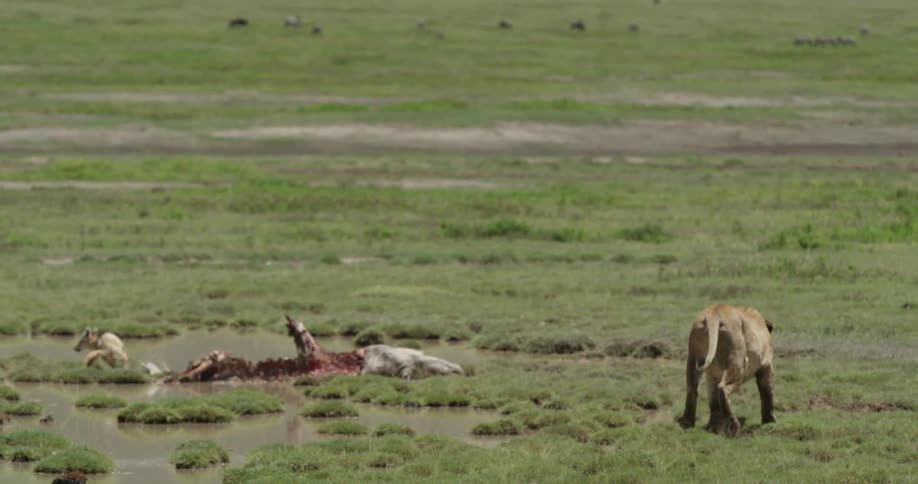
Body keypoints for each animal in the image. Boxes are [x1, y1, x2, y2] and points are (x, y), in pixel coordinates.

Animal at [676, 304, 775, 437]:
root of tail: (714, 313)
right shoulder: (766, 364)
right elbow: (767, 392)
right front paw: (770, 421)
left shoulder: (713, 374)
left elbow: (713, 401)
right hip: (738, 360)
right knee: (723, 388)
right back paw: (733, 426)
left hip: (694, 359)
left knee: (694, 391)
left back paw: (693, 424)